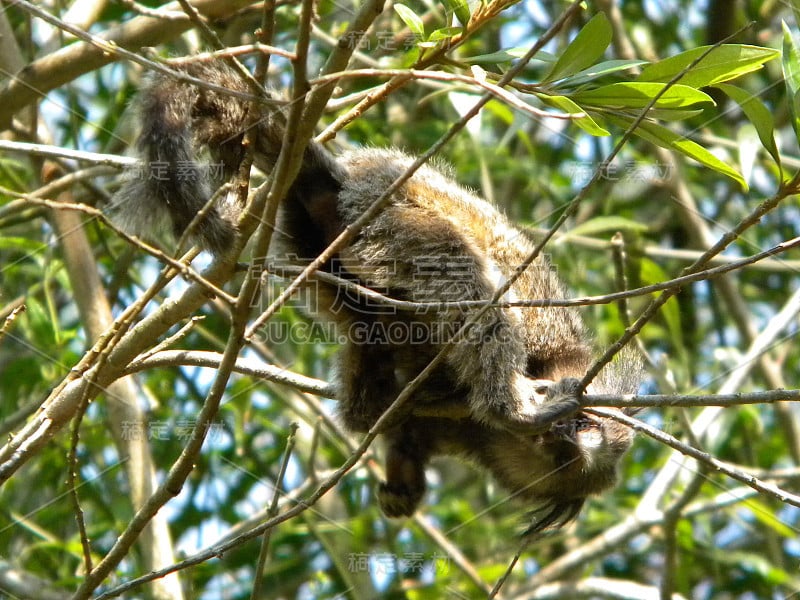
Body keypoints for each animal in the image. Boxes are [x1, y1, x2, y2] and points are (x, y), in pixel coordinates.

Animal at [109, 61, 640, 532]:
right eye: (581, 428)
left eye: (566, 458)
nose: (558, 434)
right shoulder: (545, 334)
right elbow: (488, 314)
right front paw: (513, 405)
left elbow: (410, 437)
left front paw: (403, 472)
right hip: (385, 205)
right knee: (457, 267)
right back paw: (505, 405)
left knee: (369, 329)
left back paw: (370, 397)